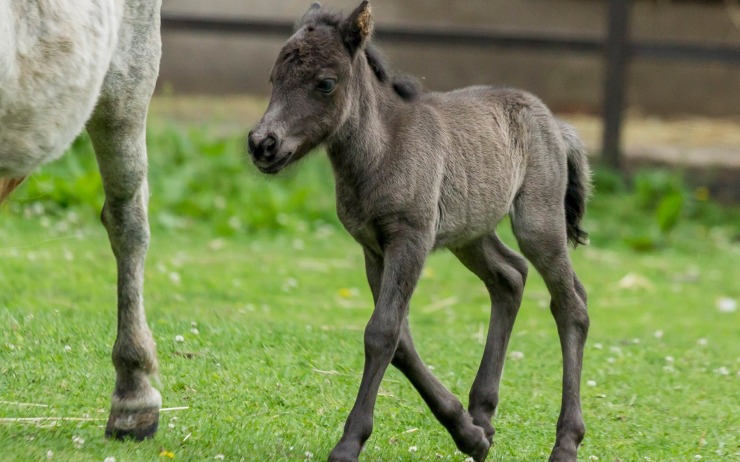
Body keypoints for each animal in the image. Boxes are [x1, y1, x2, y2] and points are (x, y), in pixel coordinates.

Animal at [249, 1, 588, 460]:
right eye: (274, 79)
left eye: (325, 83)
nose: (262, 144)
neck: (383, 148)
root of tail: (556, 123)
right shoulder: (373, 247)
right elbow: (400, 341)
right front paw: (467, 432)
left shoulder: (410, 239)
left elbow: (382, 332)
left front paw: (348, 443)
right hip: (470, 232)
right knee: (510, 277)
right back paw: (482, 417)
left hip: (538, 221)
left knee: (570, 304)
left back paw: (566, 441)